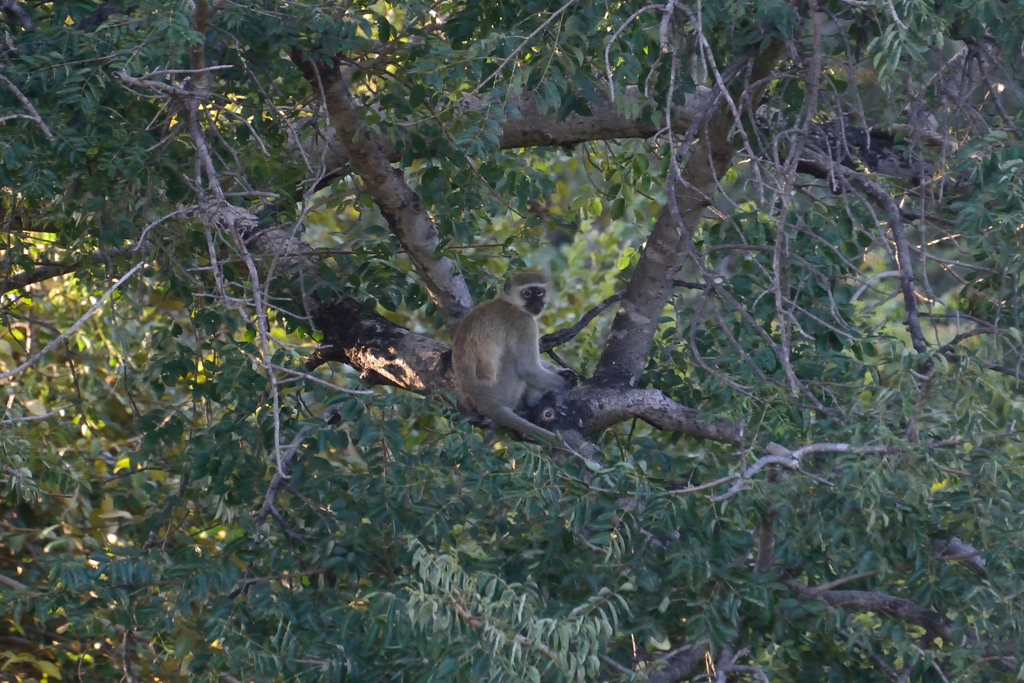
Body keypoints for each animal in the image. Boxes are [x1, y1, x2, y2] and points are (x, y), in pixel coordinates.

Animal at [450, 270, 577, 446]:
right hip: (504, 391)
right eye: (527, 293)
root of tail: (483, 401)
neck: (512, 304)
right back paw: (534, 399)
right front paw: (566, 384)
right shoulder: (524, 323)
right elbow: (528, 369)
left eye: (539, 292)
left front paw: (562, 371)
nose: (536, 303)